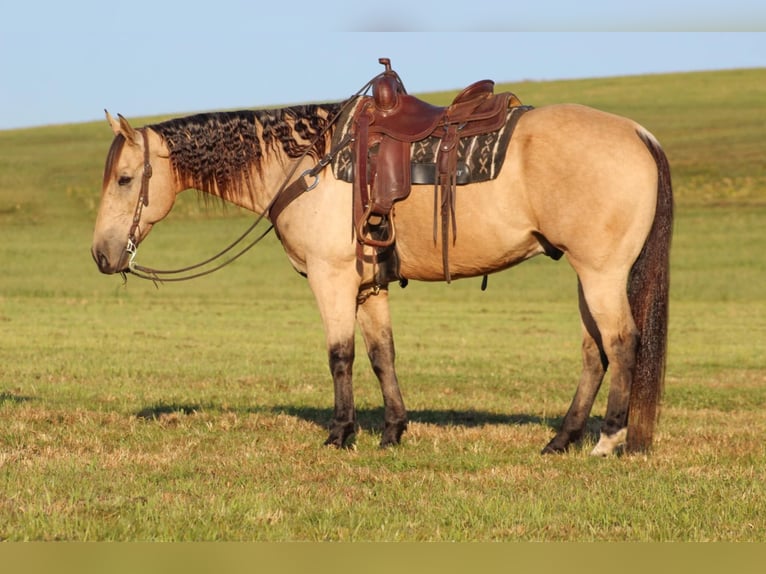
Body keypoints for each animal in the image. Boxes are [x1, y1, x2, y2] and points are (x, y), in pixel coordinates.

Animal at [93, 60, 676, 456]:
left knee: (621, 344)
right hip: (588, 275)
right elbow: (382, 354)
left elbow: (340, 355)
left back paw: (607, 440)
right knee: (594, 353)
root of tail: (639, 134)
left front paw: (340, 433)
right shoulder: (368, 284)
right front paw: (393, 430)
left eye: (124, 178)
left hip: (601, 273)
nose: (101, 254)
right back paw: (562, 439)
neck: (307, 164)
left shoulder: (330, 278)